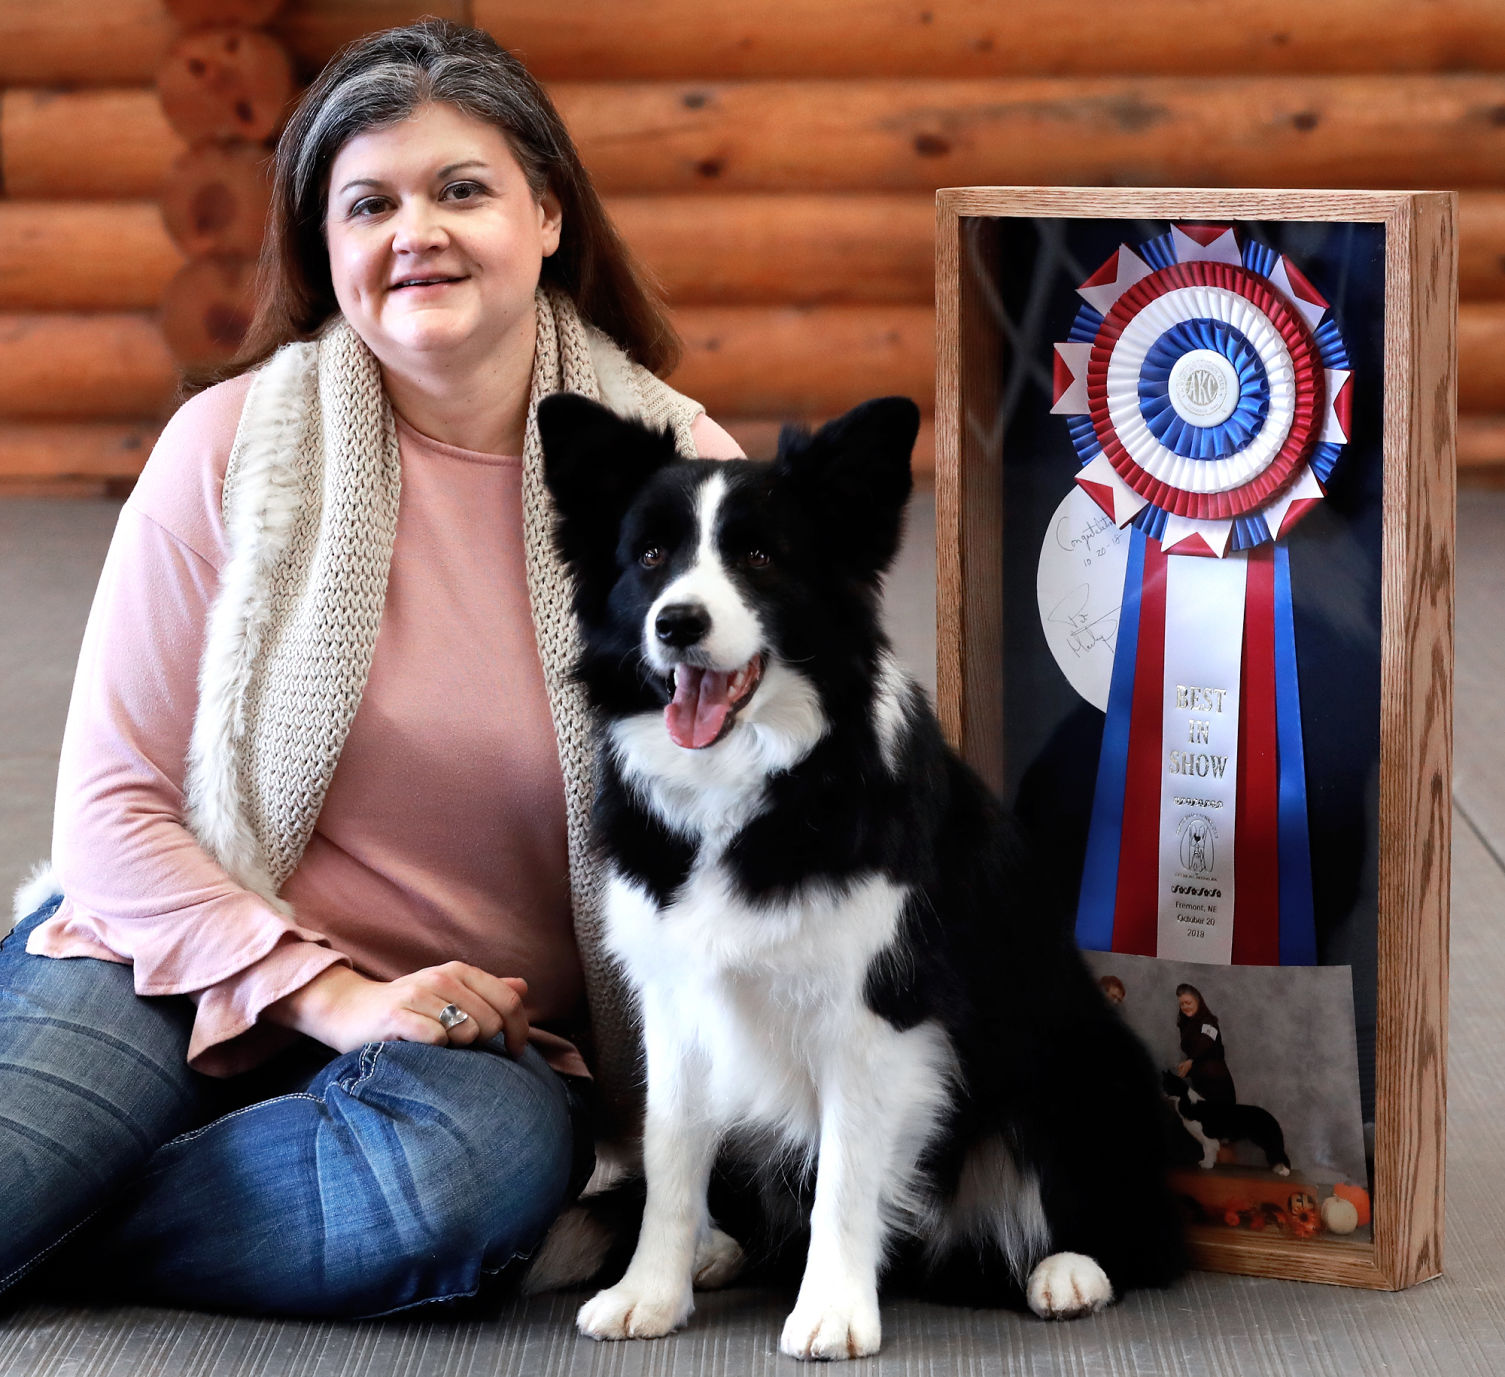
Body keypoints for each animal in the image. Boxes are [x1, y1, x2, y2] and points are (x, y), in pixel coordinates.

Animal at [541, 394, 1185, 1360]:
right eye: (649, 557)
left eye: (760, 556)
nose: (677, 622)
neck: (752, 788)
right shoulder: (677, 1002)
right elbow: (668, 1156)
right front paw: (649, 1291)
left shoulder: (873, 1012)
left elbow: (845, 1173)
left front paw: (833, 1312)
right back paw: (719, 1251)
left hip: (1091, 1059)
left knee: (1129, 1221)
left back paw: (1070, 1269)